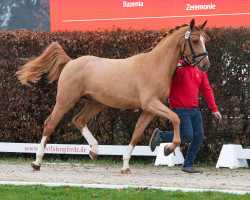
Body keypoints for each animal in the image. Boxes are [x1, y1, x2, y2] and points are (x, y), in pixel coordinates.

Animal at [16, 18, 210, 173]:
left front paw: (125, 166)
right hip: (65, 101)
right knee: (50, 124)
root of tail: (71, 62)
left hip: (95, 103)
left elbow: (136, 134)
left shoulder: (149, 110)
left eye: (205, 39)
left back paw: (94, 151)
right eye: (194, 40)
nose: (205, 65)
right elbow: (176, 118)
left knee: (78, 120)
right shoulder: (151, 104)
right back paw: (37, 162)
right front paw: (168, 149)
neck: (155, 65)